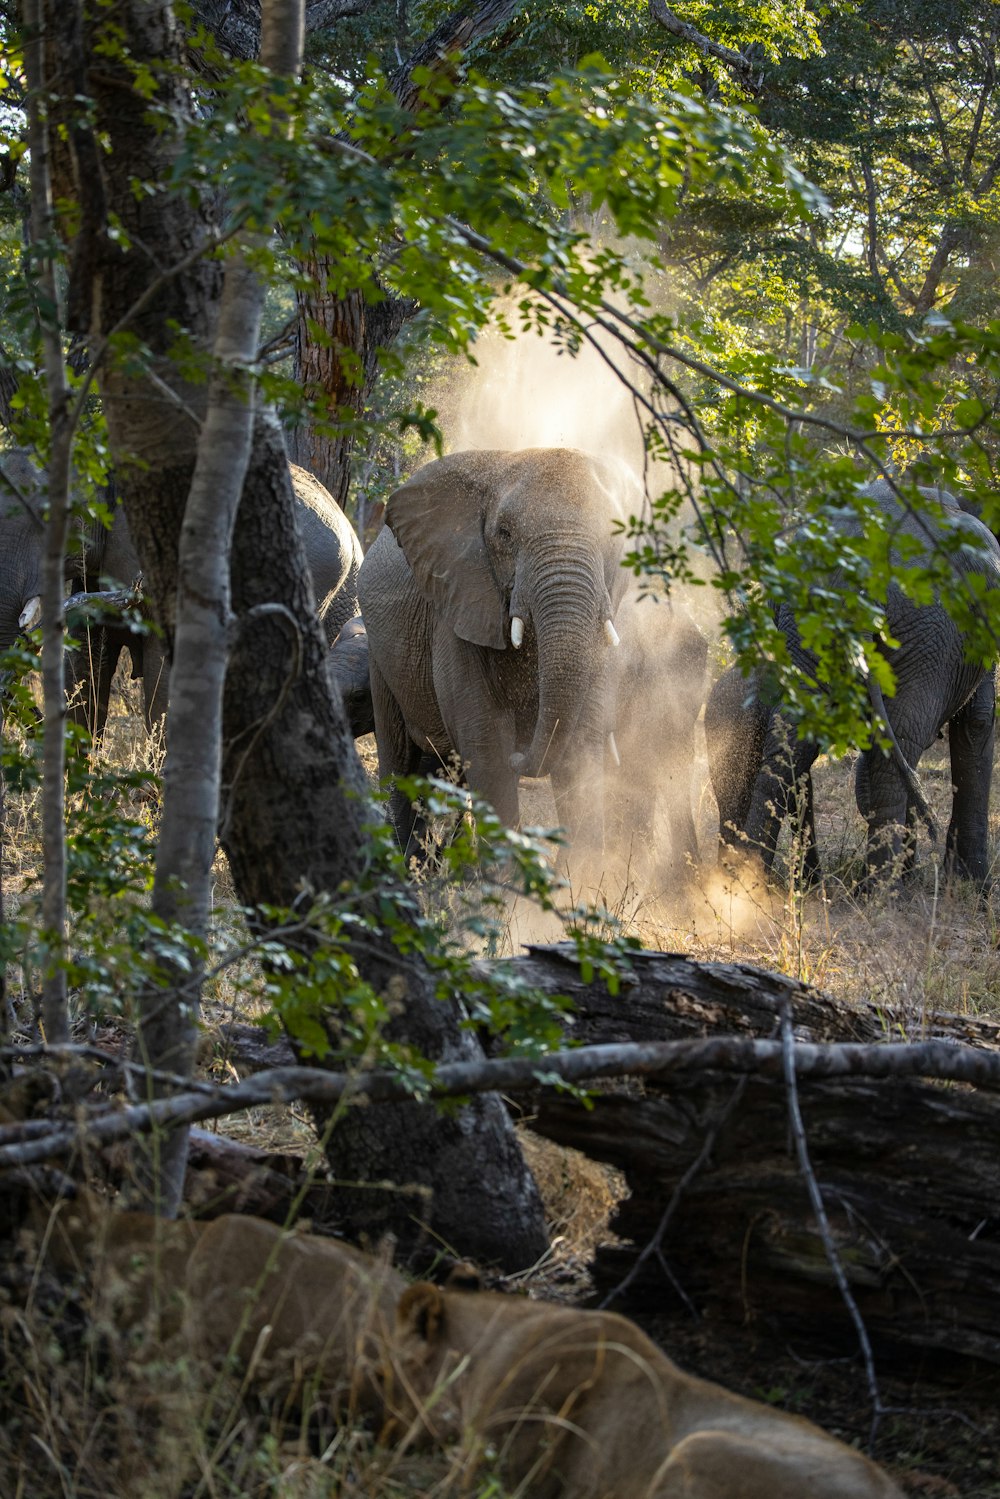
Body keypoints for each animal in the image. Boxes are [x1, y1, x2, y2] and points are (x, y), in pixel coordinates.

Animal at [359, 443, 638, 863]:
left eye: (612, 535)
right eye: (504, 534)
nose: (522, 756)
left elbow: (581, 748)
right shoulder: (459, 604)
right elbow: (488, 747)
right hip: (380, 656)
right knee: (399, 762)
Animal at [704, 479, 1000, 881]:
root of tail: (860, 582)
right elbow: (978, 722)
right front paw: (972, 883)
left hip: (812, 616)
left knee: (792, 743)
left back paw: (750, 878)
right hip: (931, 630)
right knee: (900, 744)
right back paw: (882, 888)